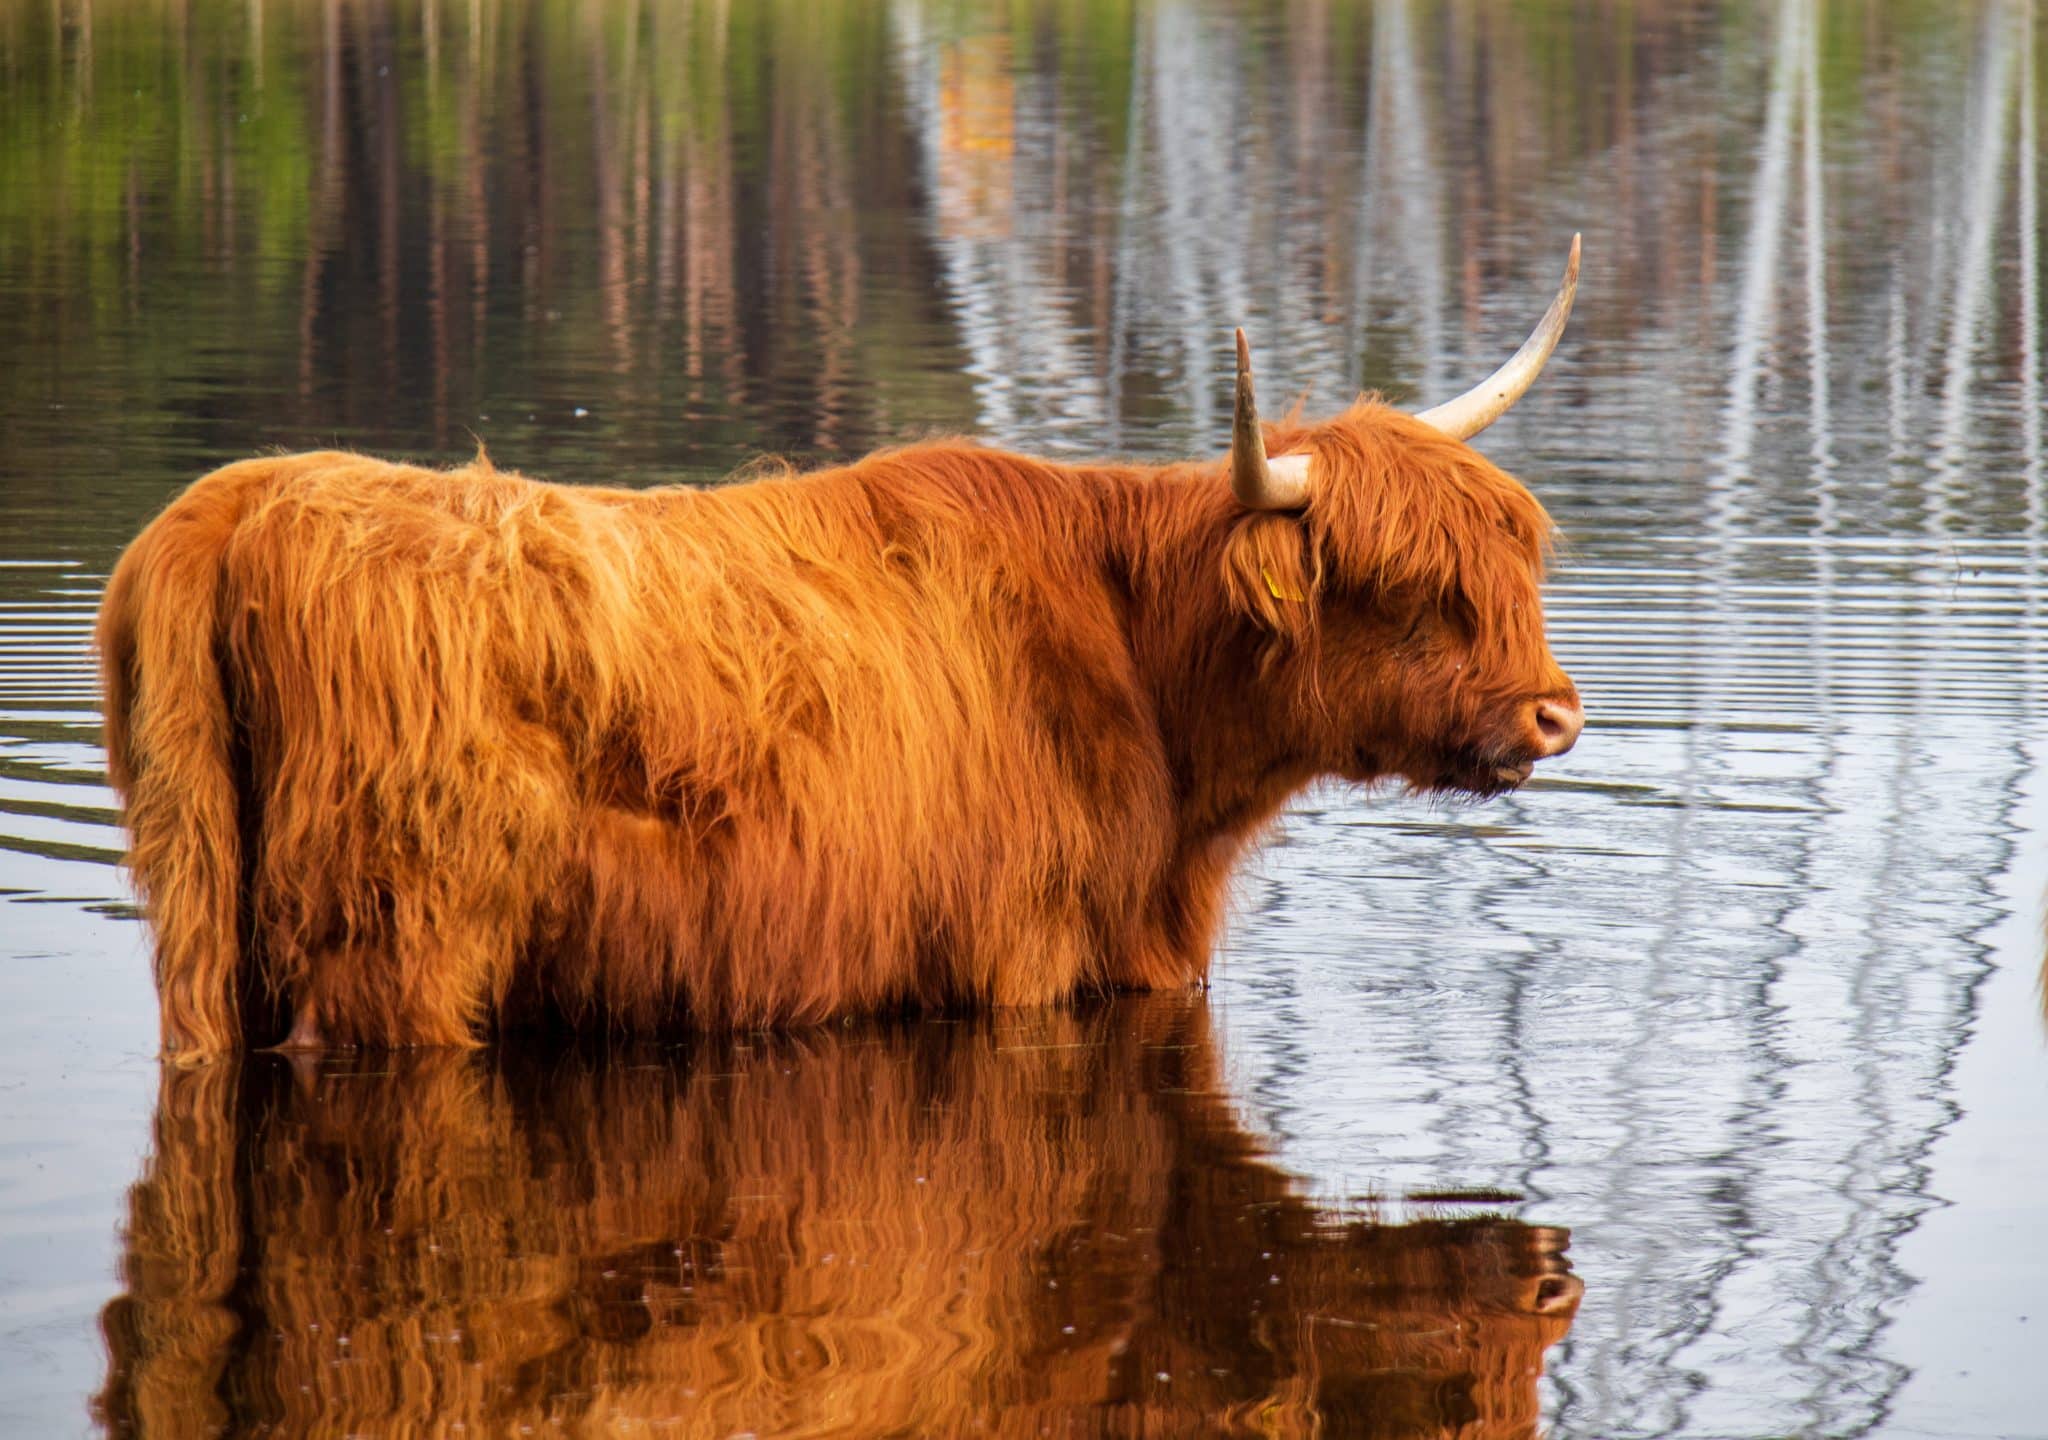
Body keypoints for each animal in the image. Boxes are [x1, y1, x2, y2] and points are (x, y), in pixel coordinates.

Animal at [99, 241, 1581, 1065]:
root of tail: (239, 501)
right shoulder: (1023, 955)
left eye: (1516, 566)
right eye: (1407, 591)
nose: (1556, 715)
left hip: (205, 935)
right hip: (402, 948)